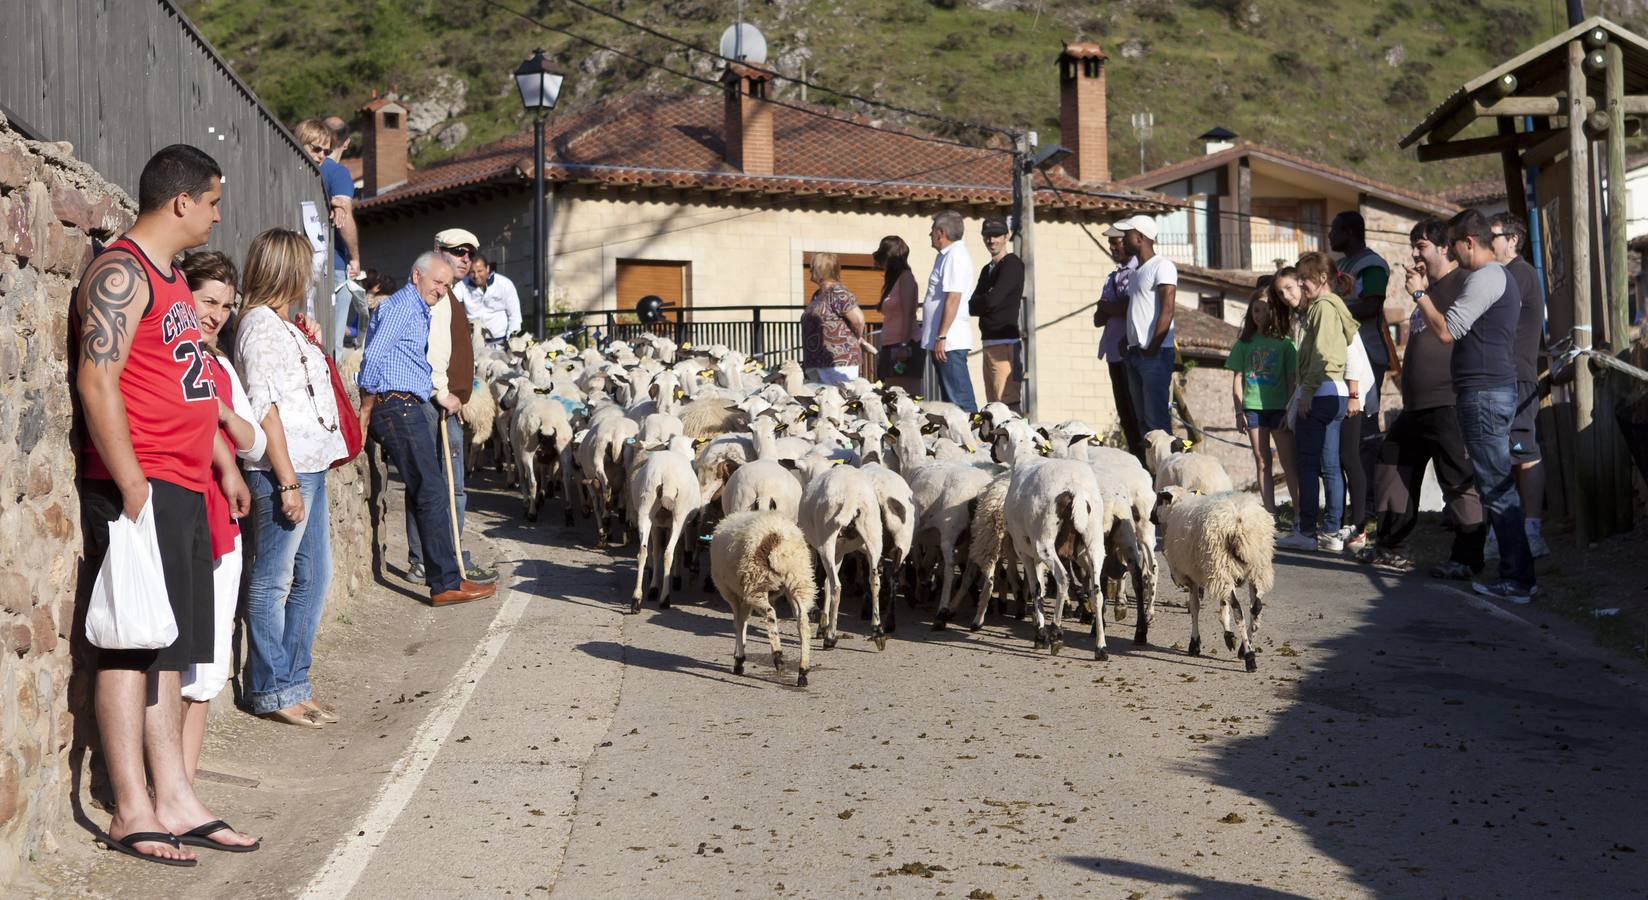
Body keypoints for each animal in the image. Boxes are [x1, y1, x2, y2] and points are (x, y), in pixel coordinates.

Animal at [708, 507, 817, 682]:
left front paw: (739, 660)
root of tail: (780, 543)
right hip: (799, 580)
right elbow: (743, 620)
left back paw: (778, 657)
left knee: (770, 614)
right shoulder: (744, 595)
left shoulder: (733, 594)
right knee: (803, 621)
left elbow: (739, 623)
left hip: (757, 582)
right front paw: (740, 656)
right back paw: (803, 671)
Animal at [1160, 487, 1272, 669]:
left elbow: (1195, 608)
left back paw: (1249, 657)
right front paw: (1229, 636)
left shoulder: (1193, 577)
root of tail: (1238, 523)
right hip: (1255, 569)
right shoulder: (1217, 574)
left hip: (1222, 564)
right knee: (1256, 607)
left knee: (1239, 611)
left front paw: (1195, 644)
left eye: (1157, 500)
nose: (1150, 517)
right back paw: (1244, 648)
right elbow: (1222, 605)